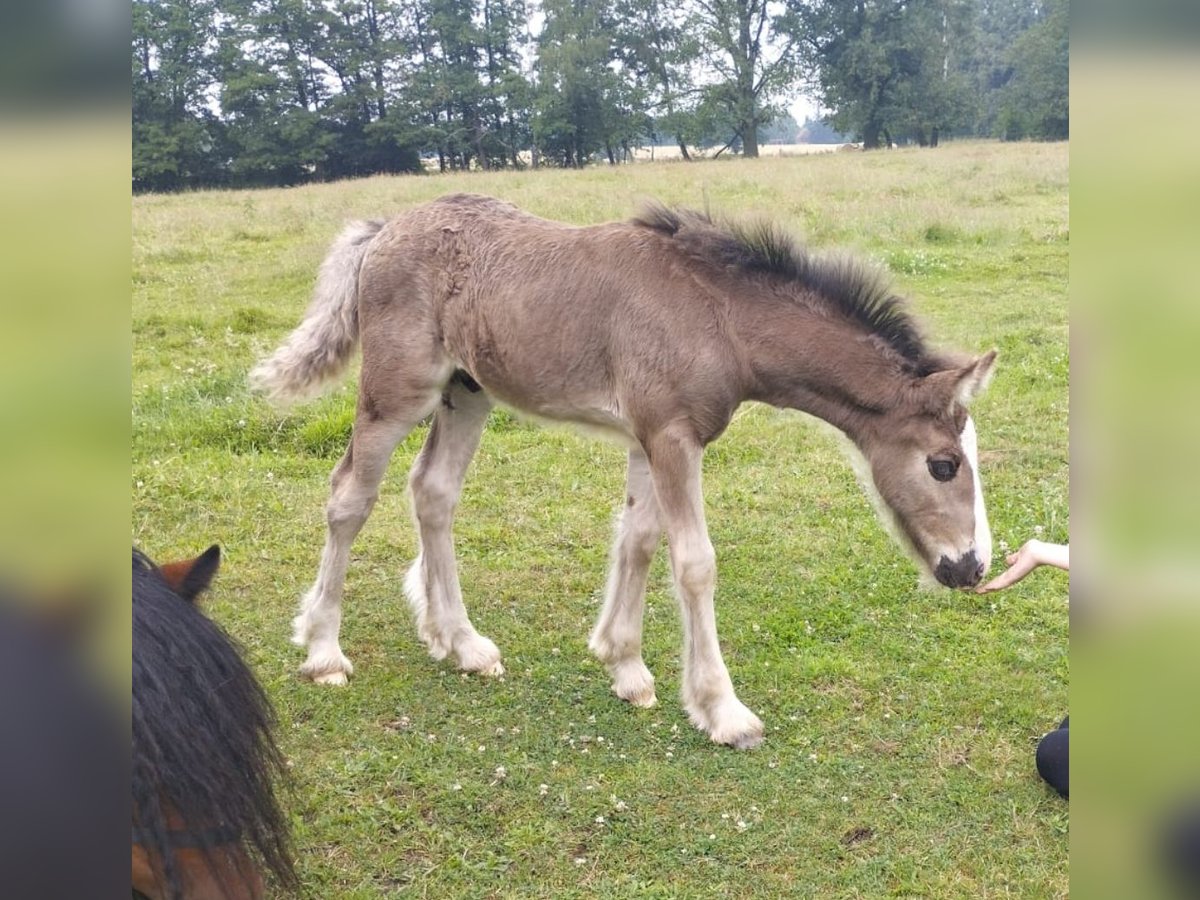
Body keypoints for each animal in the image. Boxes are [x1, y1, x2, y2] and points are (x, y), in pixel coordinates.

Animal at [253, 196, 993, 753]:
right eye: (943, 464)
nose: (971, 567)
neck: (719, 319)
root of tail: (383, 230)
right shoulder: (672, 436)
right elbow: (693, 562)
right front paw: (723, 711)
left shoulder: (650, 437)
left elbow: (637, 540)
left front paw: (625, 666)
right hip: (397, 391)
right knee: (350, 495)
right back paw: (324, 651)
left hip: (467, 393)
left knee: (432, 492)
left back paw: (460, 643)